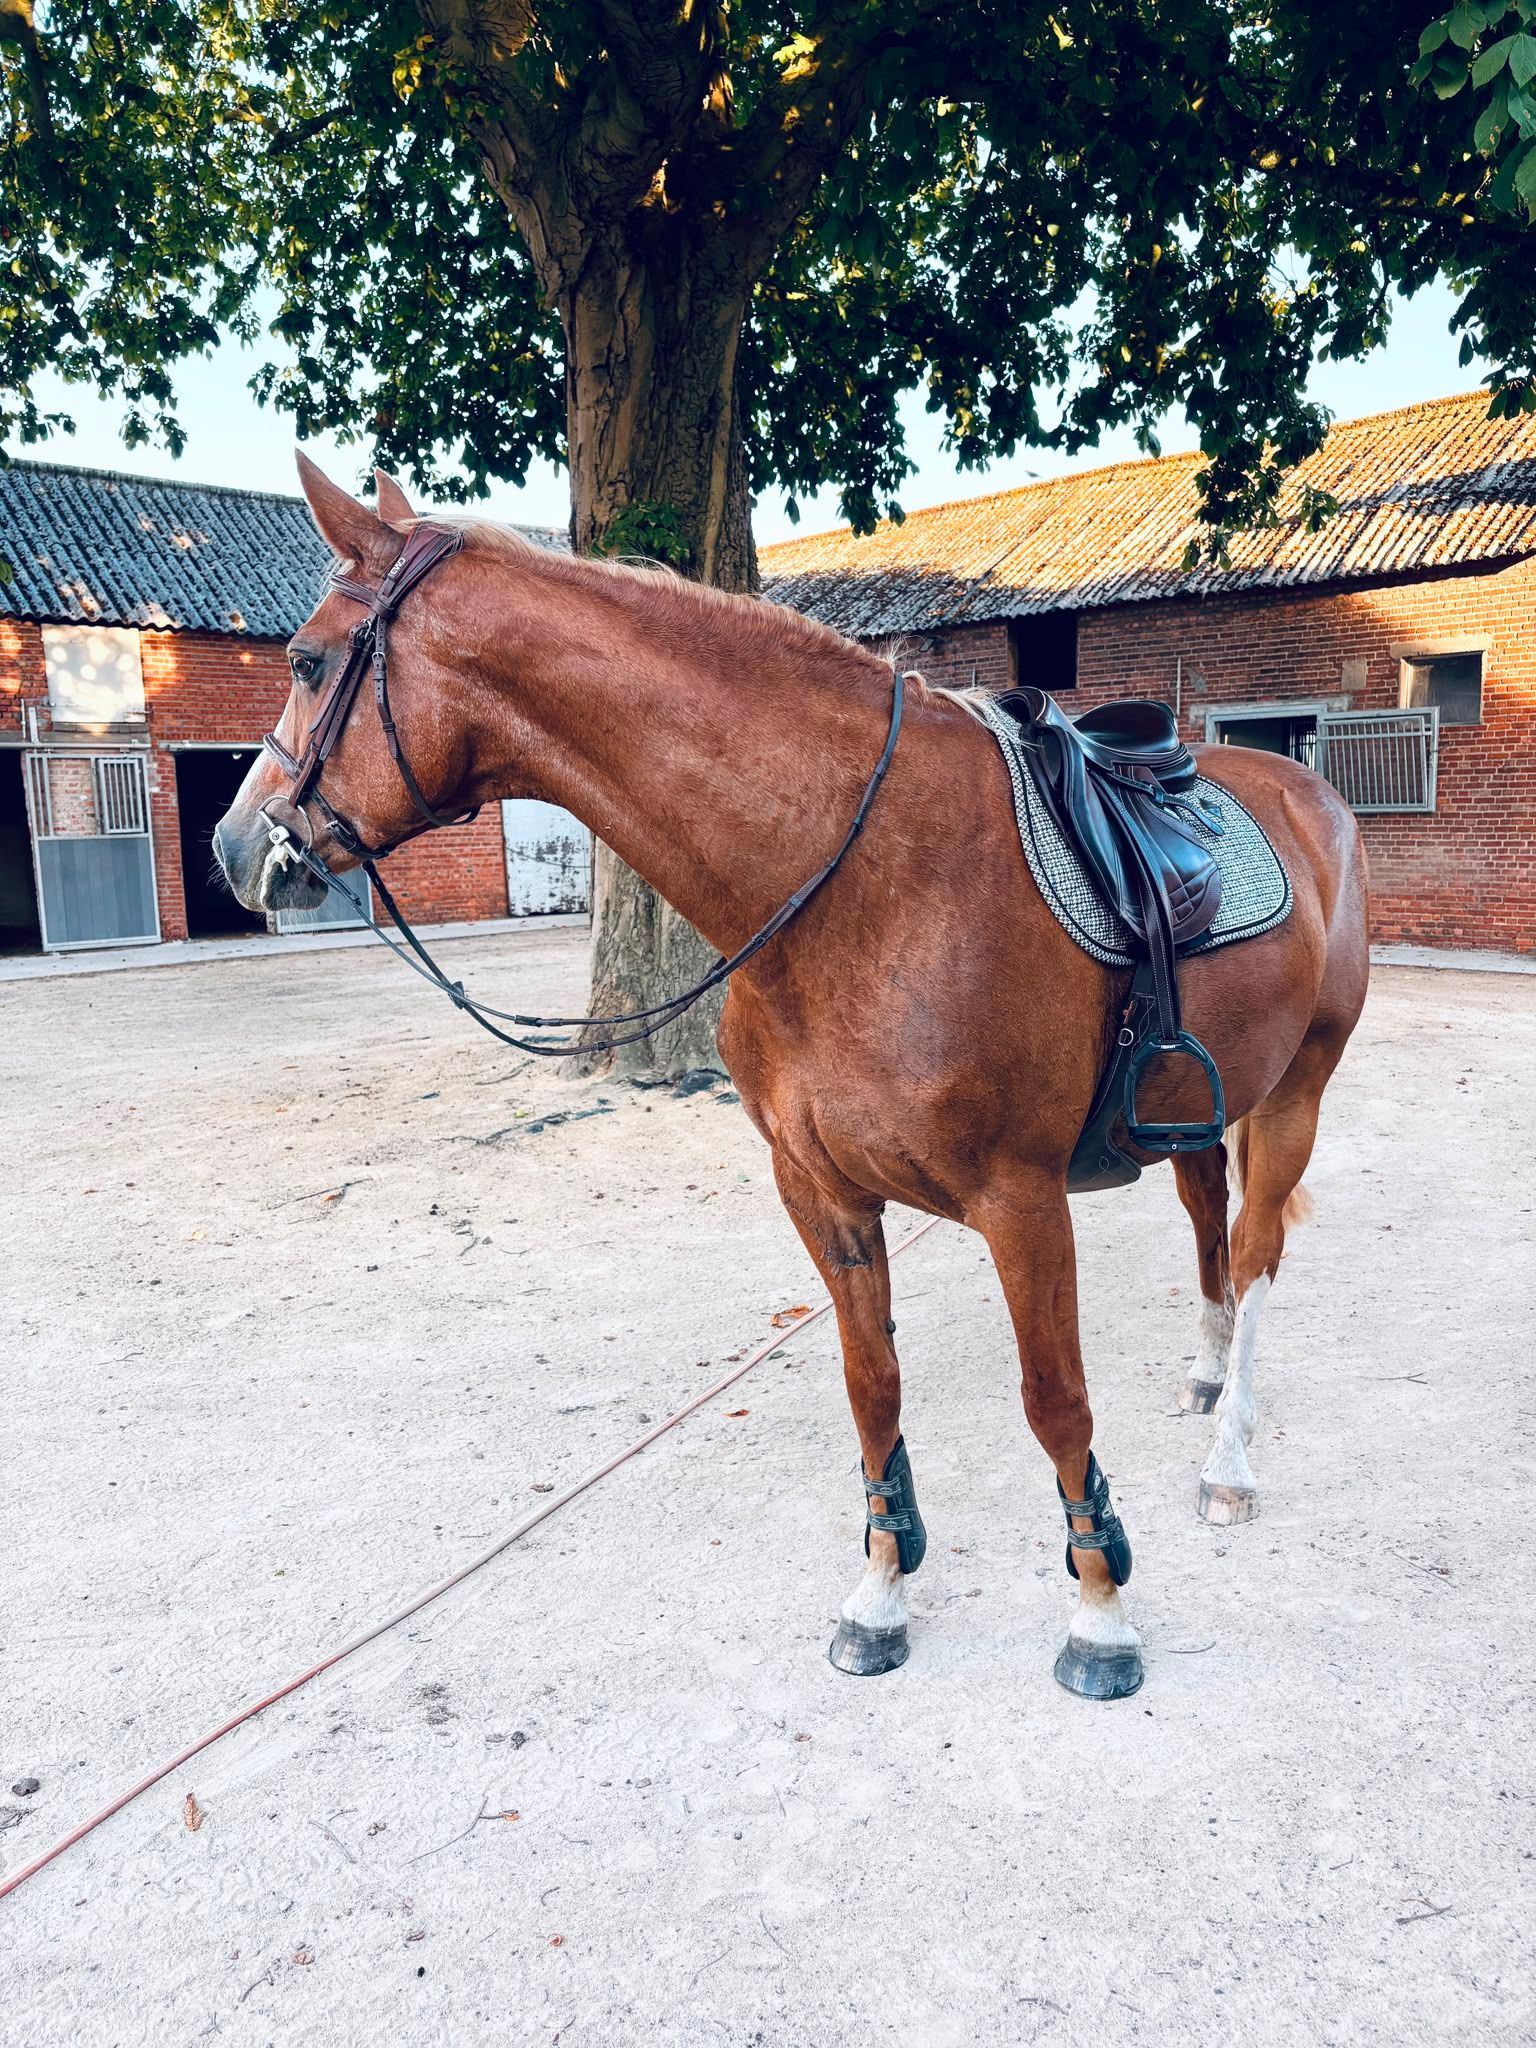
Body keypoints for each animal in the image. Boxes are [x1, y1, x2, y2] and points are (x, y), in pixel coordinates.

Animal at [214, 454, 1369, 1701]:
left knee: (1255, 1252)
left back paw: (1230, 1456)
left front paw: (1100, 1612)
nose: (234, 846)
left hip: (1296, 1088)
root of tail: (1305, 790)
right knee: (1210, 1223)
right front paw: (882, 1591)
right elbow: (874, 1388)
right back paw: (1205, 1375)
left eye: (308, 661)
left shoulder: (1020, 1199)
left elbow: (1055, 1401)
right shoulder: (822, 1191)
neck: (861, 880)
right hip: (1202, 1100)